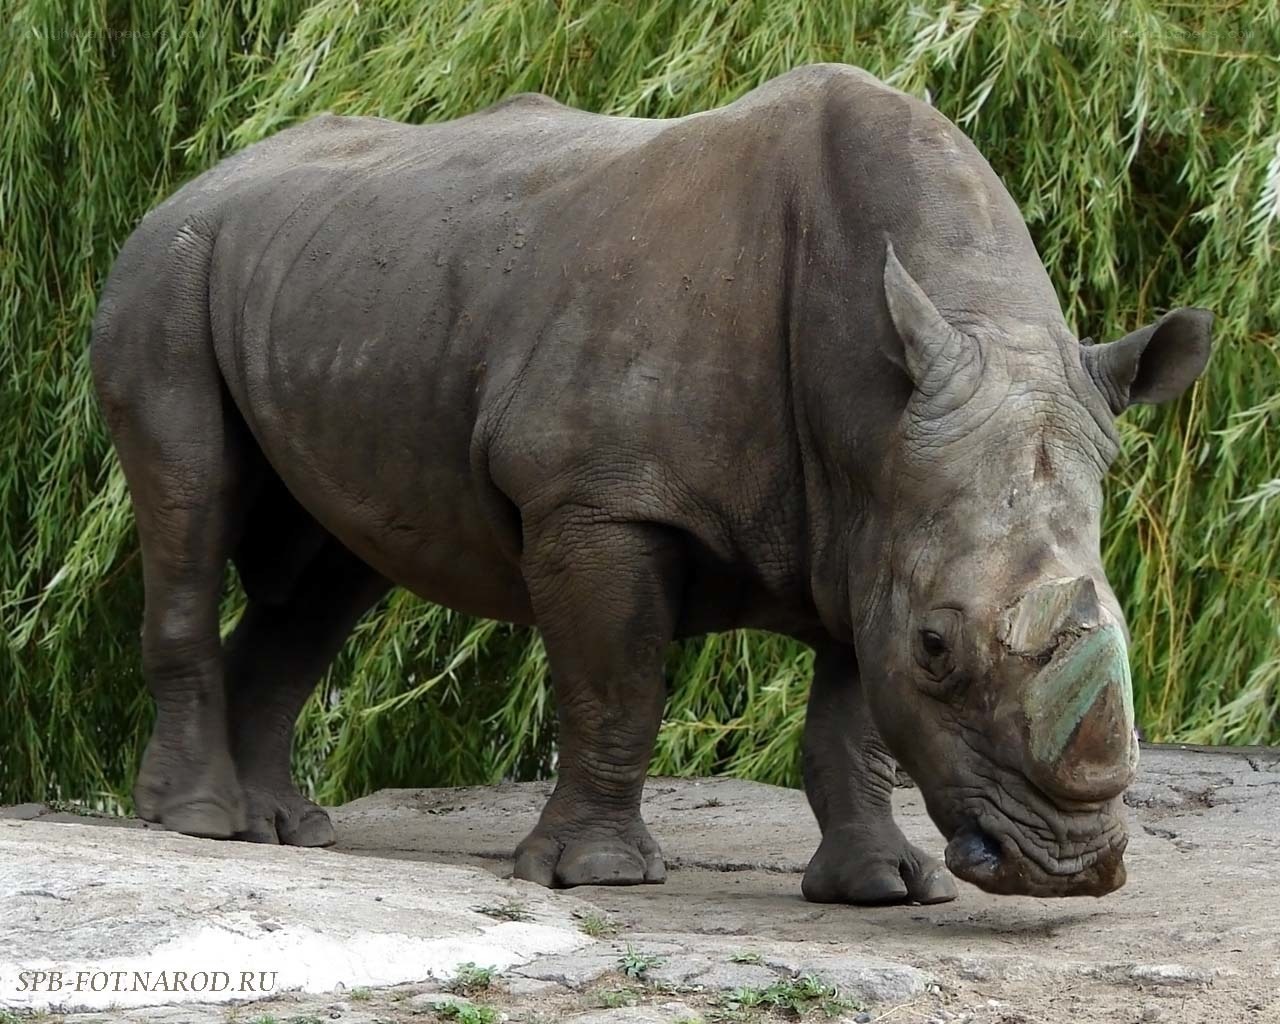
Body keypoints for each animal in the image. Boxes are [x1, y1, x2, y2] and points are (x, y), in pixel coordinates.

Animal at [91, 64, 1212, 903]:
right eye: (941, 649)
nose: (1066, 869)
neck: (877, 402)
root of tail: (202, 175)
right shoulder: (596, 496)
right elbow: (616, 680)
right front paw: (595, 875)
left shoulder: (874, 516)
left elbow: (852, 716)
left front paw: (884, 888)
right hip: (165, 270)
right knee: (191, 502)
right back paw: (201, 824)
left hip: (334, 283)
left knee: (327, 572)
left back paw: (283, 829)